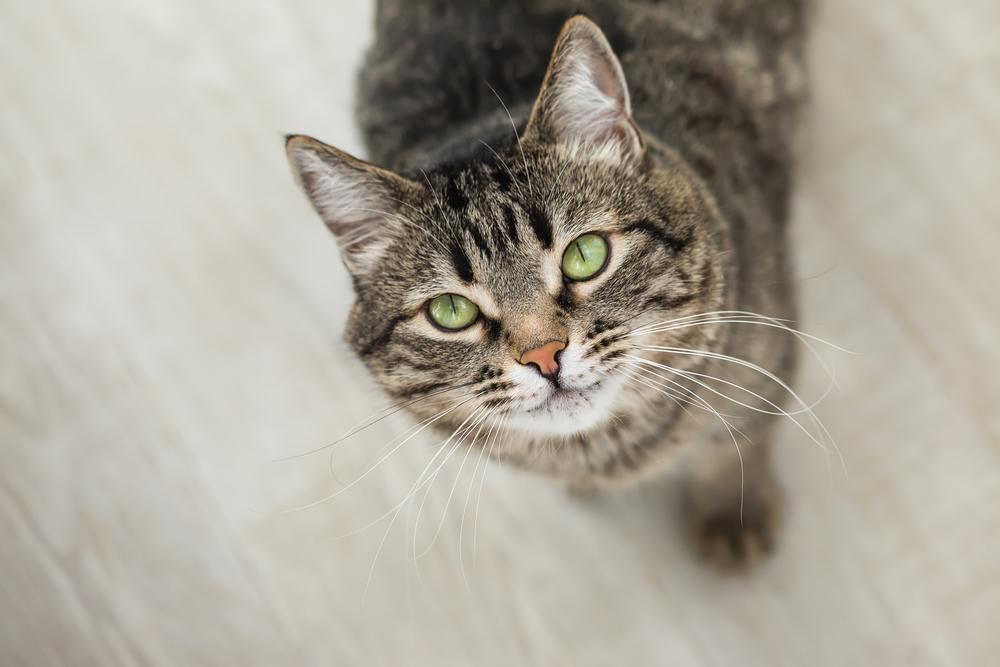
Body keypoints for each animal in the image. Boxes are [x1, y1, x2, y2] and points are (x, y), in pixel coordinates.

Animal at [284, 1, 812, 568]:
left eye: (585, 255)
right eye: (451, 311)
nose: (544, 356)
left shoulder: (769, 353)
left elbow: (736, 443)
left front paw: (732, 515)